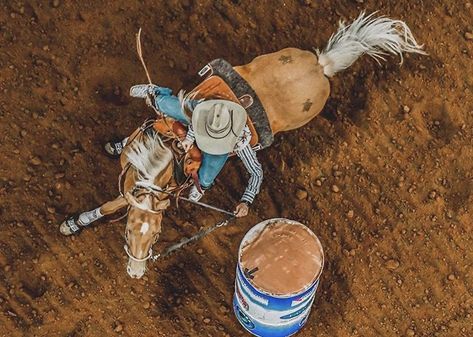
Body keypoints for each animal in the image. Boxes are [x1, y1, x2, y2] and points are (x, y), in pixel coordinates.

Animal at [59, 11, 424, 276]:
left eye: (158, 235)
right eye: (129, 233)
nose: (136, 272)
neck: (165, 149)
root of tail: (321, 65)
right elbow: (111, 203)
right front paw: (76, 221)